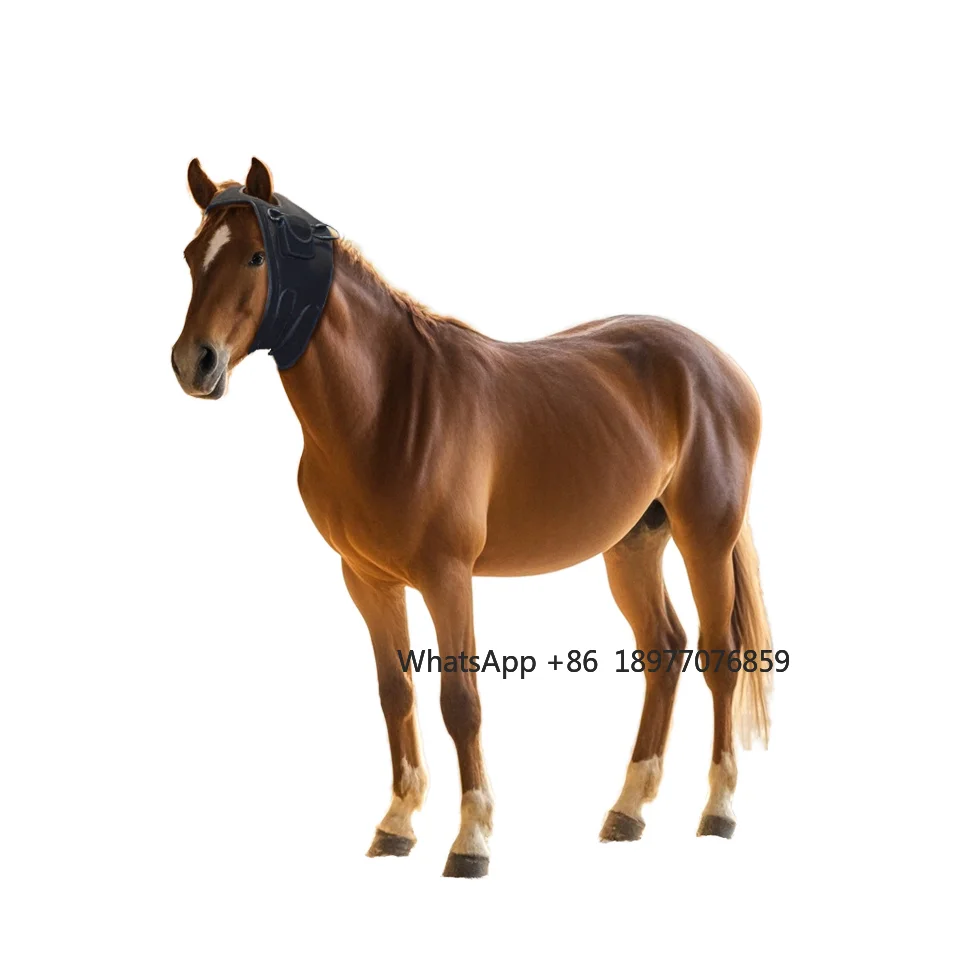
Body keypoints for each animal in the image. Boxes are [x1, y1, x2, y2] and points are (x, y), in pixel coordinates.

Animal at [172, 157, 772, 878]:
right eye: (190, 258)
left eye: (258, 256)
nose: (193, 363)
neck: (388, 404)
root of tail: (719, 365)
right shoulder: (368, 581)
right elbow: (396, 693)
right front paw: (397, 825)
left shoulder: (447, 578)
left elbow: (460, 702)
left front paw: (471, 841)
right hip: (633, 545)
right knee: (663, 649)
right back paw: (627, 811)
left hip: (705, 536)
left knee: (720, 657)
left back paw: (719, 810)